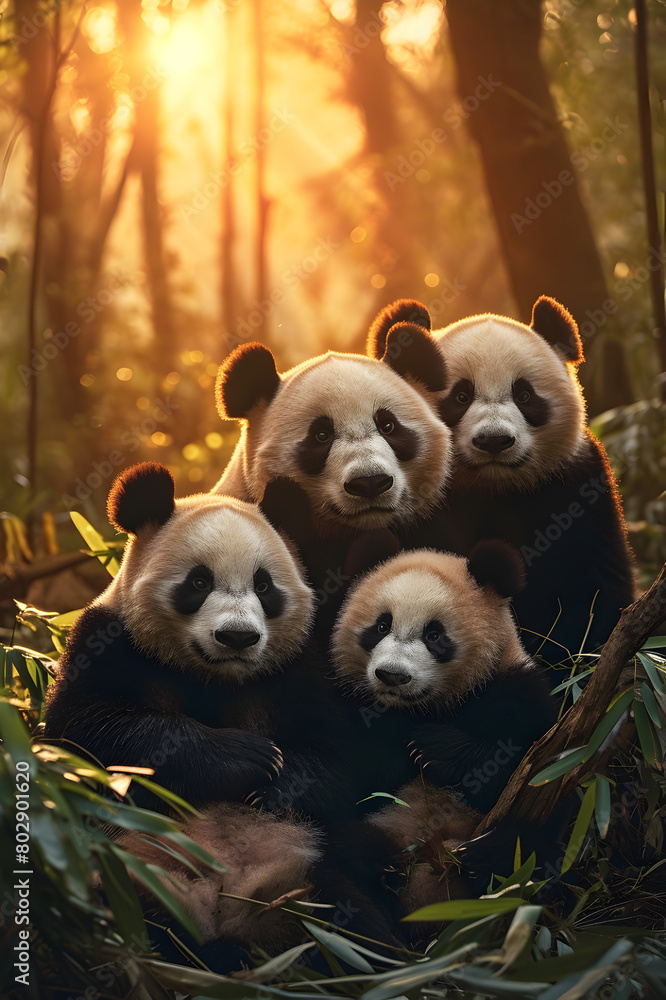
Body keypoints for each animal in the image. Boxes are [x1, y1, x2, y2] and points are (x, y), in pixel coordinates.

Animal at [43, 462, 347, 822]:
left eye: (263, 586)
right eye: (199, 582)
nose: (237, 636)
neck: (212, 678)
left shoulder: (297, 665)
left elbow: (339, 753)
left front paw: (276, 787)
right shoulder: (106, 642)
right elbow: (87, 733)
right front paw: (250, 756)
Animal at [367, 296, 636, 668]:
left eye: (524, 395)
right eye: (461, 397)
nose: (494, 440)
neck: (493, 486)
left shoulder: (574, 486)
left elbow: (592, 592)